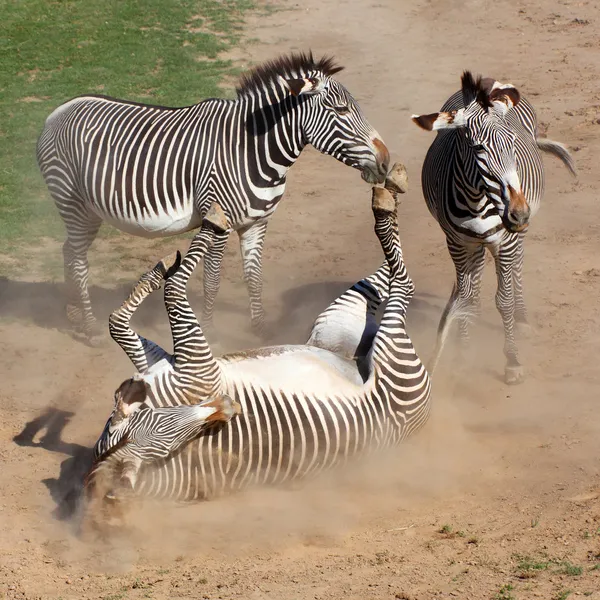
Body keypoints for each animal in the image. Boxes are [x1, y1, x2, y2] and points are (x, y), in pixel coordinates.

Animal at [38, 53, 394, 344]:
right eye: (341, 110)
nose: (386, 161)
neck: (252, 151)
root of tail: (58, 110)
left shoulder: (257, 223)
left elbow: (254, 277)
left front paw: (261, 331)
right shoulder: (219, 220)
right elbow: (212, 280)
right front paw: (209, 331)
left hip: (87, 211)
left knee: (69, 250)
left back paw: (71, 314)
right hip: (72, 202)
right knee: (79, 260)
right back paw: (90, 328)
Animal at [84, 189, 432, 520]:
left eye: (163, 418)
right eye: (170, 435)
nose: (228, 406)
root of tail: (421, 416)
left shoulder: (173, 364)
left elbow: (122, 321)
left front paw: (163, 268)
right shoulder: (194, 368)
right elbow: (163, 297)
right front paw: (209, 227)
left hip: (337, 328)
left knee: (389, 279)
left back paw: (391, 188)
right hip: (375, 343)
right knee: (403, 282)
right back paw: (385, 202)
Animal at [412, 71, 576, 384]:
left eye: (512, 142)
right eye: (478, 147)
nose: (519, 213)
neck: (477, 201)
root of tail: (488, 81)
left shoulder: (505, 241)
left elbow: (504, 300)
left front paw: (512, 360)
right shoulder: (457, 243)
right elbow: (466, 300)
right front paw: (464, 353)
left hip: (514, 238)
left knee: (518, 266)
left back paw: (522, 320)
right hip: (474, 245)